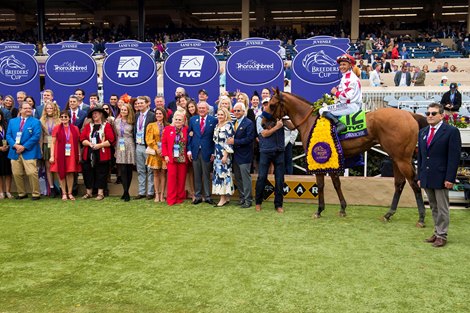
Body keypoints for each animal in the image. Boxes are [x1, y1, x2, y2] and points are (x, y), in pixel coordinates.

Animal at [264, 88, 430, 227]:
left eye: (271, 105)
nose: (264, 123)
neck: (310, 121)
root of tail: (410, 114)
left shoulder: (319, 158)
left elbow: (321, 184)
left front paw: (319, 210)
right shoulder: (332, 159)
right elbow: (337, 183)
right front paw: (343, 208)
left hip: (402, 159)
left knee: (414, 184)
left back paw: (421, 218)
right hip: (396, 157)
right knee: (399, 184)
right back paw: (388, 214)